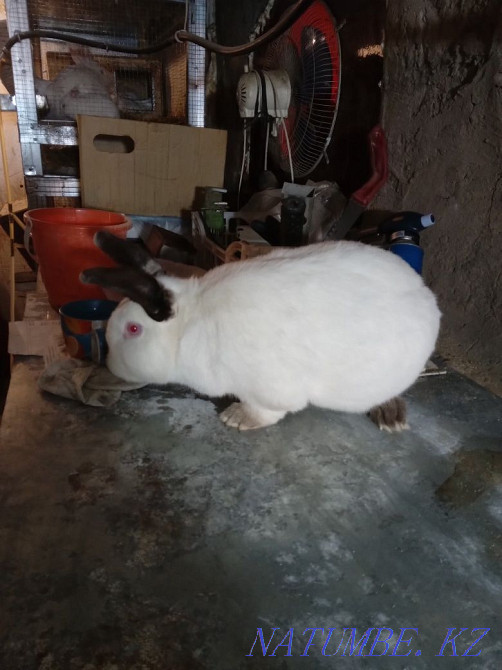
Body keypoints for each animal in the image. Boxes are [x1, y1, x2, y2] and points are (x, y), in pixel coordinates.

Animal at [81, 232, 441, 432]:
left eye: (133, 329)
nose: (109, 365)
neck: (189, 326)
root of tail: (427, 298)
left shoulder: (270, 389)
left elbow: (267, 411)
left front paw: (237, 419)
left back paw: (391, 417)